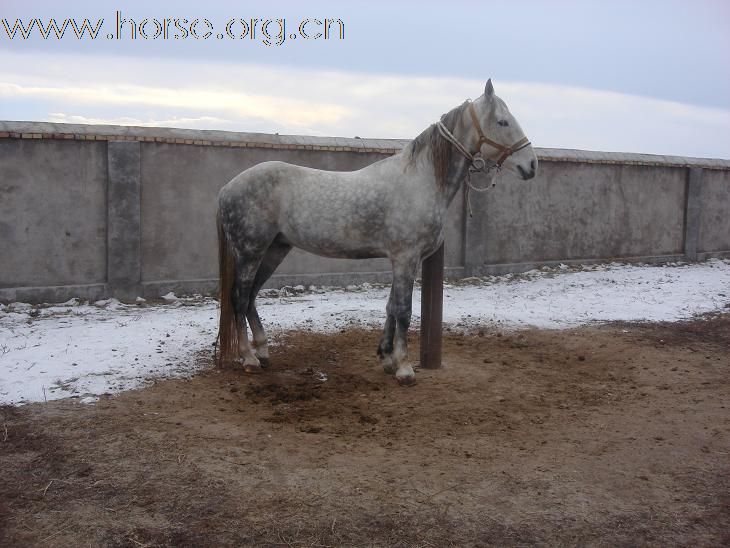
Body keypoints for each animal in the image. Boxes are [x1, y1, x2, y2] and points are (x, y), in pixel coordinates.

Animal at [216, 79, 536, 386]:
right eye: (502, 122)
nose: (531, 166)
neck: (420, 181)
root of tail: (227, 188)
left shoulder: (403, 260)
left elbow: (391, 307)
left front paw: (386, 358)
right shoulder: (405, 258)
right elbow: (404, 310)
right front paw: (404, 369)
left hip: (275, 249)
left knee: (252, 296)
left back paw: (263, 351)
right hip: (250, 251)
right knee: (239, 298)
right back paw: (249, 359)